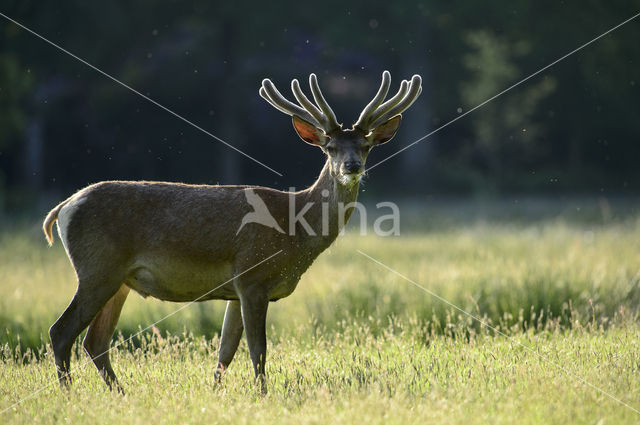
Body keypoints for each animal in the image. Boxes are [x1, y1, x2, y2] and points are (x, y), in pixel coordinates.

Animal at [42, 69, 422, 390]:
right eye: (330, 148)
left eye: (366, 146)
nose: (352, 166)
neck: (295, 233)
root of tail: (63, 208)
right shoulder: (252, 276)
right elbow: (258, 350)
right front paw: (263, 395)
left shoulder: (235, 290)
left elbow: (225, 351)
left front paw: (215, 393)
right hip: (97, 268)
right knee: (61, 332)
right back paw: (69, 394)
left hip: (118, 280)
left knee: (95, 341)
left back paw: (119, 394)